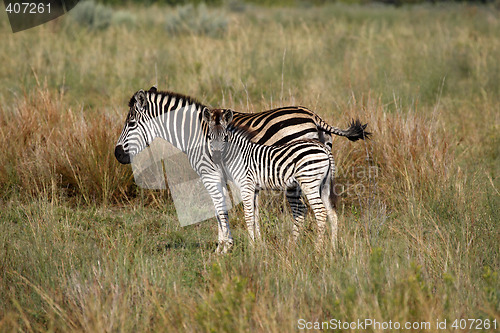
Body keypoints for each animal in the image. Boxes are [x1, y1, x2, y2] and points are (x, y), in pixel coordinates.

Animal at [203, 107, 340, 248]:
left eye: (225, 138)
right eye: (209, 137)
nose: (216, 158)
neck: (238, 154)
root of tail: (322, 147)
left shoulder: (246, 185)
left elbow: (248, 215)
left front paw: (251, 246)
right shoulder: (254, 188)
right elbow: (254, 215)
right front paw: (257, 244)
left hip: (309, 181)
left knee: (321, 212)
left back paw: (318, 248)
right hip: (324, 184)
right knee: (332, 213)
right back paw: (333, 247)